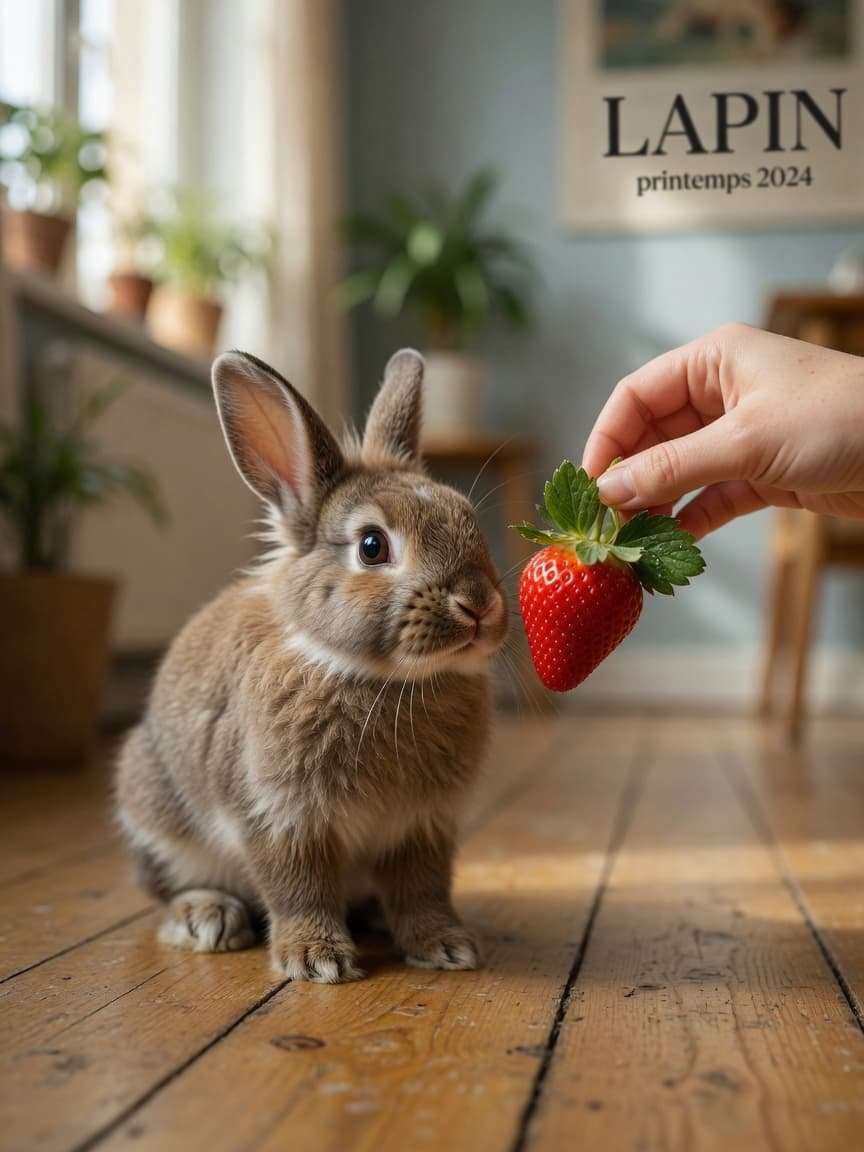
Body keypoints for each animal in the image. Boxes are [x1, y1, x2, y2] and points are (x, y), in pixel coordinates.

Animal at [115, 348, 509, 983]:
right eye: (372, 546)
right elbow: (298, 888)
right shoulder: (278, 815)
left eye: (469, 519)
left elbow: (423, 890)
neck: (378, 679)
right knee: (171, 888)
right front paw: (317, 960)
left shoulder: (423, 826)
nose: (479, 606)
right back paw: (206, 918)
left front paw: (447, 948)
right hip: (157, 819)